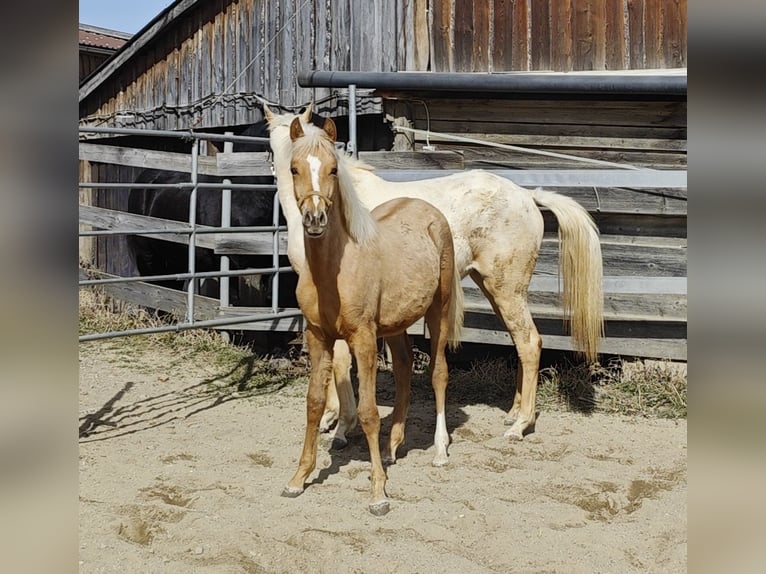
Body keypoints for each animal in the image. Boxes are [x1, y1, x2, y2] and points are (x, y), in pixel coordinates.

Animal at [264, 103, 608, 446]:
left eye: (330, 169)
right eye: (290, 163)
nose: (314, 217)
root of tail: (526, 195)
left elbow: (339, 361)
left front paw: (339, 425)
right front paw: (332, 418)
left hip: (506, 289)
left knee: (530, 342)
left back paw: (520, 425)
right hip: (495, 288)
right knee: (521, 342)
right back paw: (514, 413)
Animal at [280, 118, 462, 516]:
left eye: (334, 169)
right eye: (294, 168)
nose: (314, 219)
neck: (333, 272)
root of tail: (428, 210)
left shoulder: (362, 339)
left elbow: (367, 412)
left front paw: (378, 494)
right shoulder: (318, 337)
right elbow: (314, 403)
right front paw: (298, 478)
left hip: (438, 309)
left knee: (439, 373)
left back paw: (440, 451)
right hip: (395, 323)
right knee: (406, 368)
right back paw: (394, 446)